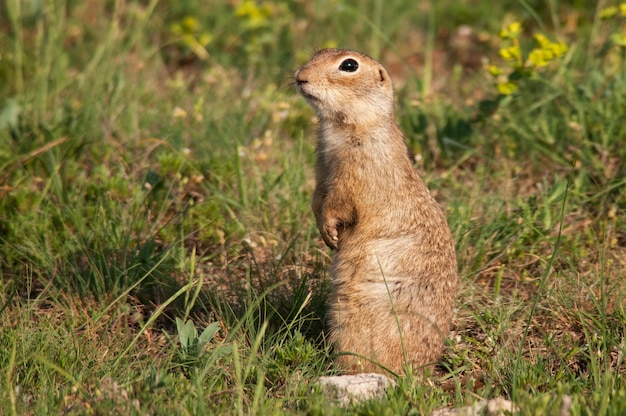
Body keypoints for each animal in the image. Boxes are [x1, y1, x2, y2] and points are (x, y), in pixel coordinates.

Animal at [294, 48, 456, 374]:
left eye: (349, 65)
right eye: (317, 52)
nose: (299, 77)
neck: (342, 126)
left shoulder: (355, 173)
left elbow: (340, 203)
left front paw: (330, 232)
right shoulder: (322, 168)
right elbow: (317, 198)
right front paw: (324, 233)